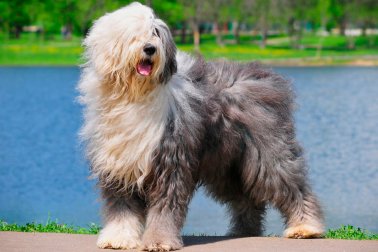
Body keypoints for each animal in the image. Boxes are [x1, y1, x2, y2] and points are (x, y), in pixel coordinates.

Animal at [77, 1, 324, 250]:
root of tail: (266, 78)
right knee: (246, 199)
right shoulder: (118, 165)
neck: (134, 96)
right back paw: (244, 231)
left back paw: (305, 227)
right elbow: (121, 208)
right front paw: (118, 238)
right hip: (227, 165)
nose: (150, 49)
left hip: (267, 153)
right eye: (133, 34)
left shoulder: (169, 161)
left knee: (291, 185)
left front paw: (159, 241)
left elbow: (164, 207)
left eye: (155, 33)